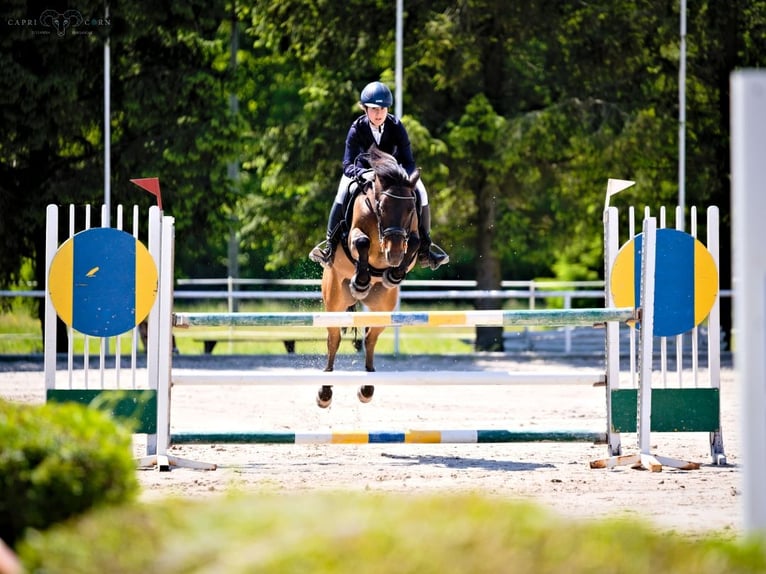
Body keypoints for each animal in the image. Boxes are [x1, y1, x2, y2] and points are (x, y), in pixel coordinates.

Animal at [320, 148, 424, 410]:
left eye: (410, 210)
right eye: (381, 206)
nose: (394, 255)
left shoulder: (412, 235)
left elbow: (415, 241)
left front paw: (394, 273)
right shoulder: (355, 235)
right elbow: (362, 241)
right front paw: (361, 279)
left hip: (382, 309)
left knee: (370, 339)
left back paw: (367, 387)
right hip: (334, 302)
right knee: (333, 340)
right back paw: (325, 392)